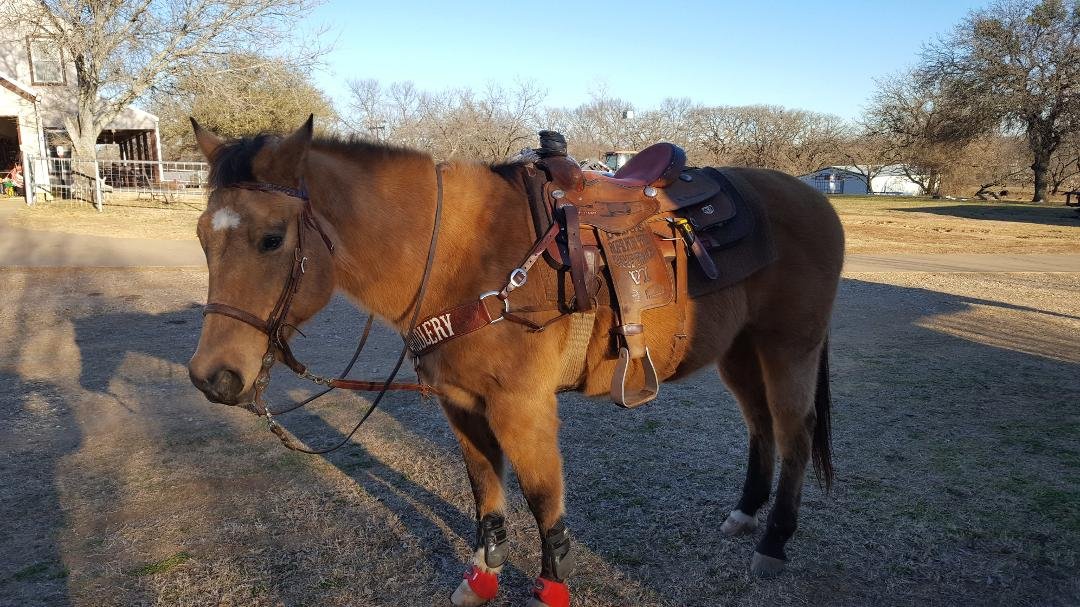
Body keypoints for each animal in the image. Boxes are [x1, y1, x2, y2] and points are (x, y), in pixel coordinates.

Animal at [187, 117, 844, 607]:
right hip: (740, 350)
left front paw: (552, 586)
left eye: (272, 238)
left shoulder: (522, 407)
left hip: (789, 347)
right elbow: (486, 492)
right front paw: (484, 577)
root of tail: (813, 197)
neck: (464, 255)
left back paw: (774, 542)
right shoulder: (461, 405)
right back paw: (745, 514)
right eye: (201, 237)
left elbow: (542, 499)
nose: (212, 378)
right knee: (761, 428)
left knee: (793, 434)